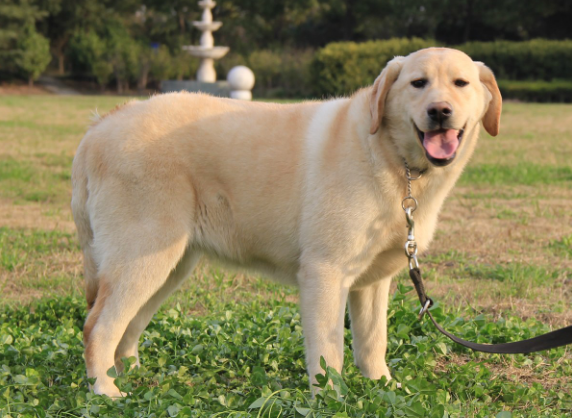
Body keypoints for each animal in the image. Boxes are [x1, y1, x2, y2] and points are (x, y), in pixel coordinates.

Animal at [71, 47, 500, 396]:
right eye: (418, 83)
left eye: (460, 83)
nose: (440, 111)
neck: (396, 161)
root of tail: (97, 128)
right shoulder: (325, 273)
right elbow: (329, 354)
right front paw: (331, 401)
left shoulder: (372, 284)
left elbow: (372, 343)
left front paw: (382, 388)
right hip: (142, 259)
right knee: (97, 328)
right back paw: (106, 391)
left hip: (168, 265)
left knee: (126, 329)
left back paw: (131, 378)